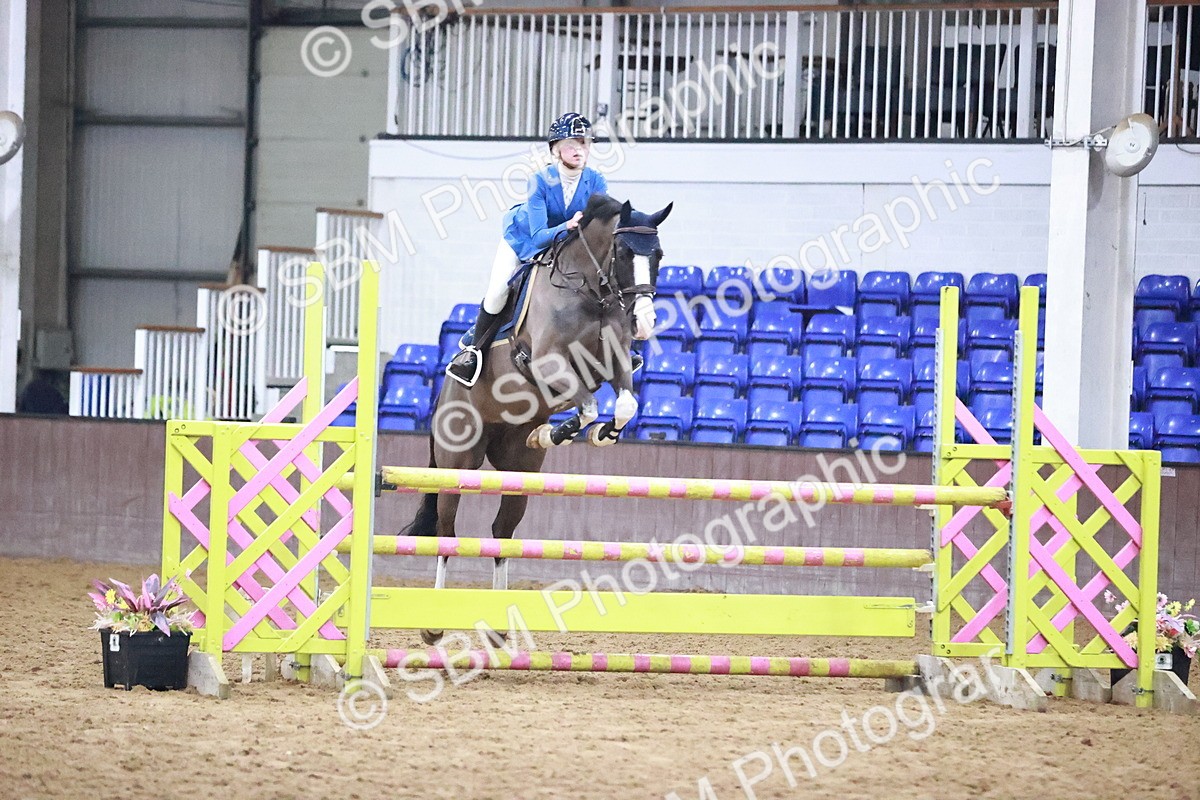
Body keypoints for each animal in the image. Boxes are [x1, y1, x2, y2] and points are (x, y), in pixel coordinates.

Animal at [401, 194, 671, 641]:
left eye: (659, 255)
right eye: (622, 251)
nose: (644, 323)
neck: (590, 293)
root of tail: (441, 399)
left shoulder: (613, 363)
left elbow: (624, 404)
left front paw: (595, 433)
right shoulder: (547, 363)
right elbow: (588, 404)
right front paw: (563, 430)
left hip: (519, 471)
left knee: (502, 532)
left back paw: (498, 627)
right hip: (458, 462)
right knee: (446, 531)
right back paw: (434, 627)